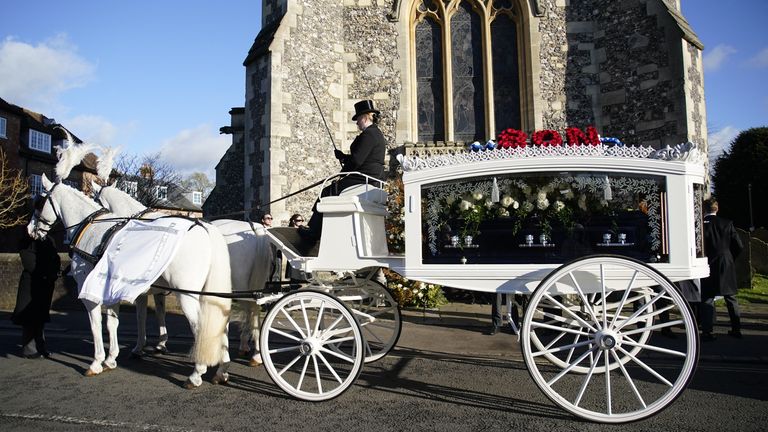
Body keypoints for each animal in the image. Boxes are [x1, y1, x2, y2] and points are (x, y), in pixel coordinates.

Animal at [28, 174, 232, 386]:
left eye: (39, 203)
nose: (30, 230)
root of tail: (204, 228)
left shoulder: (91, 292)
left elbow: (96, 325)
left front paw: (97, 362)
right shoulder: (123, 290)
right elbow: (118, 322)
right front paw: (114, 357)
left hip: (187, 294)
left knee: (201, 327)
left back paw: (197, 373)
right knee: (220, 323)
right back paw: (222, 370)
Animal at [92, 181, 272, 366]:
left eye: (95, 199)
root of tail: (254, 227)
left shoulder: (142, 290)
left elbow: (142, 316)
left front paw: (141, 347)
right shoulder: (157, 289)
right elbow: (159, 312)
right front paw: (161, 343)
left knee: (248, 311)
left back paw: (251, 351)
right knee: (251, 311)